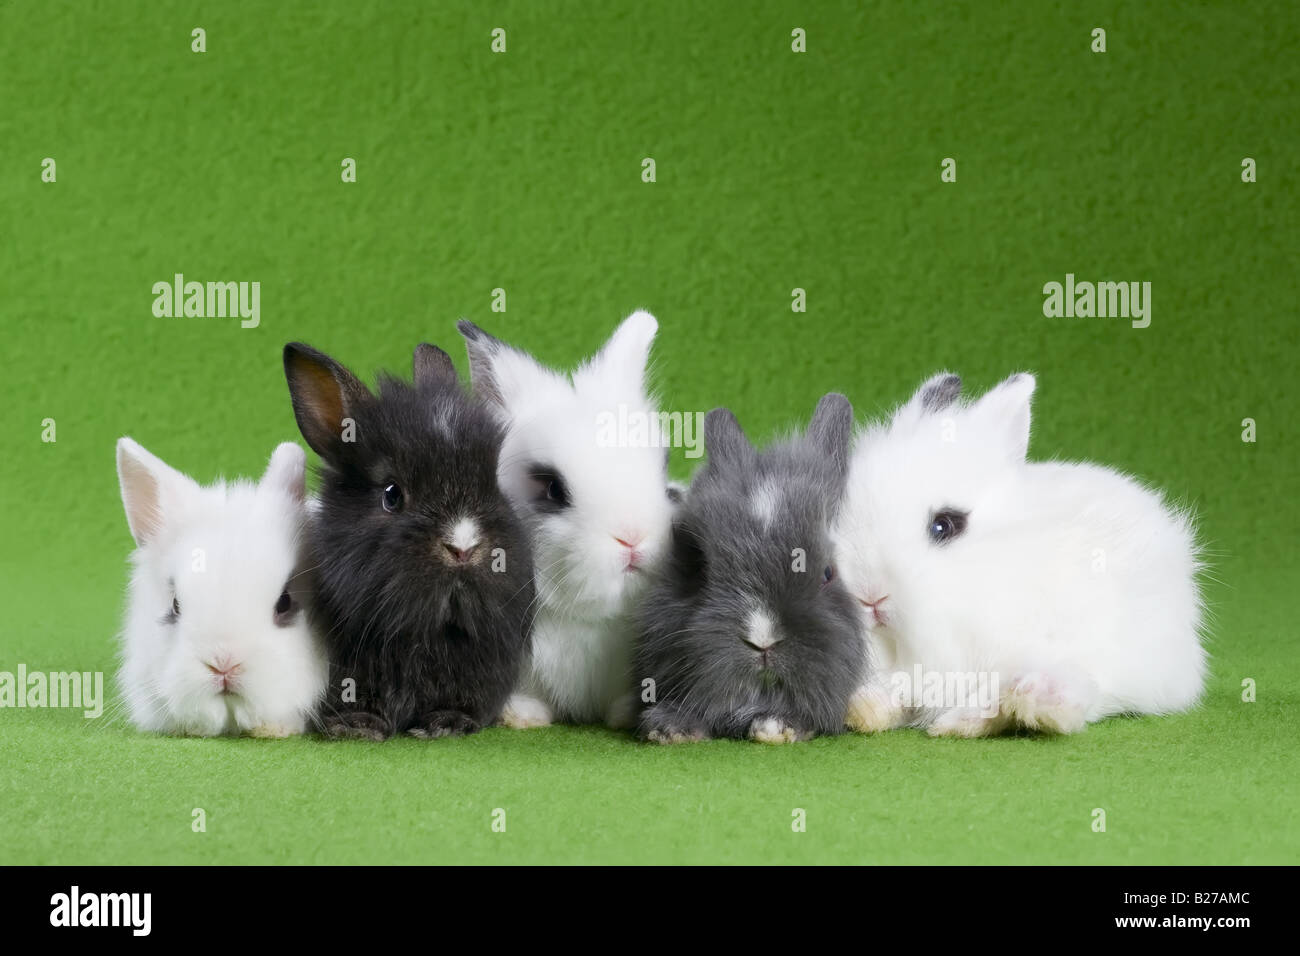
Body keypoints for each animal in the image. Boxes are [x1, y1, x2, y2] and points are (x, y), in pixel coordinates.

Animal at [283, 343, 533, 738]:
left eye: (492, 484)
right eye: (391, 494)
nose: (463, 547)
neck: (425, 633)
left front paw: (447, 724)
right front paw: (358, 727)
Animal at [457, 310, 676, 728]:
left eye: (663, 472)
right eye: (553, 489)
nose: (633, 536)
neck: (587, 619)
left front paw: (626, 713)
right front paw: (523, 715)